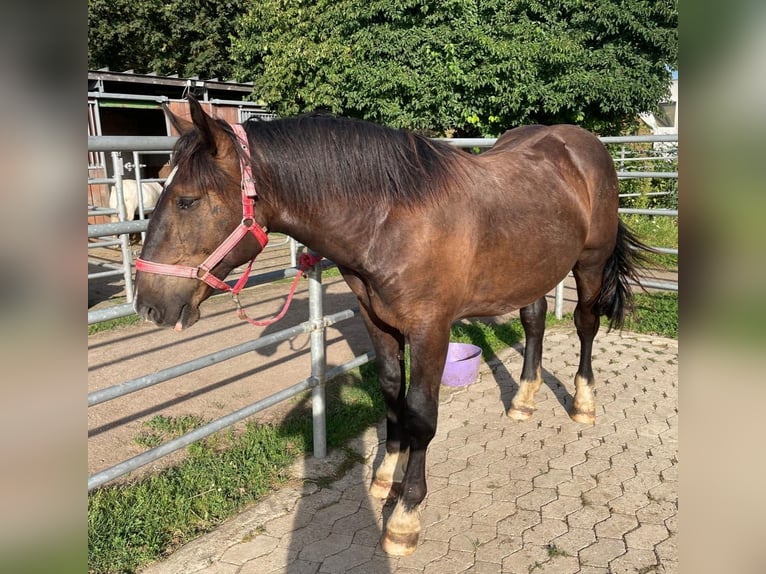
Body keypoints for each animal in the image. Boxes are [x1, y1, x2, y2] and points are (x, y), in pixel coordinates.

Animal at [134, 97, 648, 556]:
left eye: (187, 201)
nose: (148, 304)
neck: (391, 218)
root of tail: (581, 143)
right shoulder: (376, 319)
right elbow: (390, 392)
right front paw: (385, 475)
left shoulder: (430, 328)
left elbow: (421, 414)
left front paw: (405, 515)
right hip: (530, 268)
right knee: (534, 319)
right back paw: (522, 399)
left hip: (589, 263)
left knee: (585, 324)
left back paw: (583, 403)